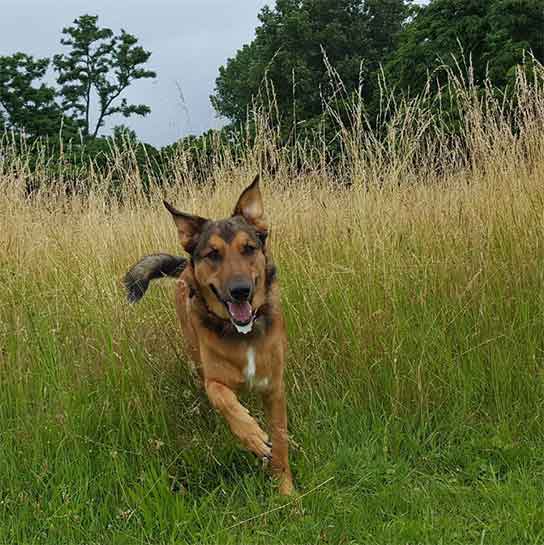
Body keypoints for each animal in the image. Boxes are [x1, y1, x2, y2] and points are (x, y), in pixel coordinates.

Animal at [124, 176, 294, 496]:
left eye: (249, 248)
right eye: (213, 254)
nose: (240, 291)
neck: (242, 333)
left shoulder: (273, 388)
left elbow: (280, 443)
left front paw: (288, 492)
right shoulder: (213, 379)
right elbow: (223, 398)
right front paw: (252, 435)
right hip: (194, 353)